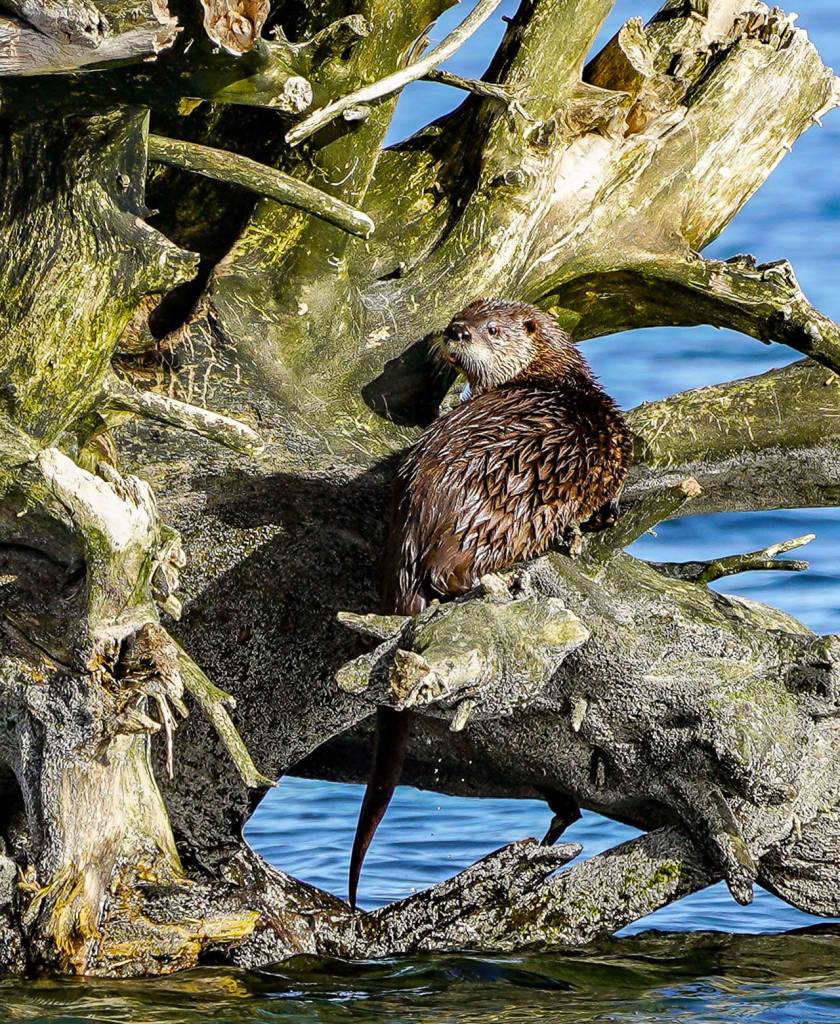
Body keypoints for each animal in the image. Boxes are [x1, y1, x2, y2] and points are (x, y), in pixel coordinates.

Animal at [348, 298, 630, 910]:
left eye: (490, 327)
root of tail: (424, 507)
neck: (557, 378)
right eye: (463, 315)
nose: (455, 332)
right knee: (450, 571)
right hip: (505, 512)